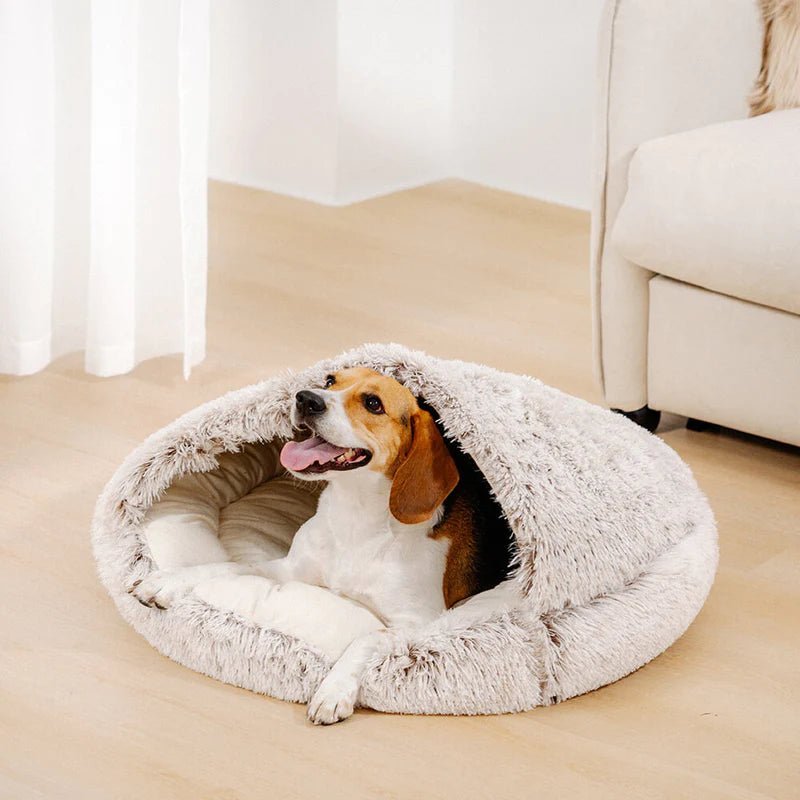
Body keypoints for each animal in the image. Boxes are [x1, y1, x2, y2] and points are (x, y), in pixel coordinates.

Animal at [131, 368, 512, 724]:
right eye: (330, 380)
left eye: (373, 403)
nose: (305, 398)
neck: (355, 518)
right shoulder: (287, 568)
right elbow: (228, 566)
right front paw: (168, 581)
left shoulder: (417, 624)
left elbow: (367, 638)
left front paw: (333, 690)